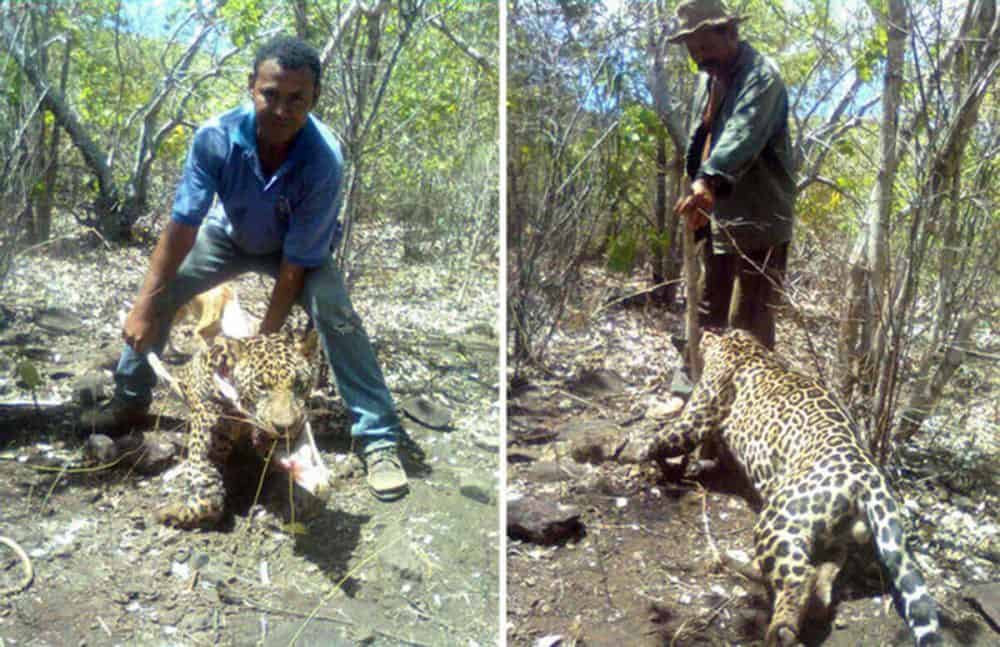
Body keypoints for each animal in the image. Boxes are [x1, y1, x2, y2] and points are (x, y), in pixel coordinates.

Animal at [152, 329, 321, 529]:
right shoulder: (208, 433)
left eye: (299, 384)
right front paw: (171, 512)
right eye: (261, 386)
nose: (285, 427)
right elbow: (208, 494)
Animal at [644, 329, 941, 647]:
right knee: (826, 569)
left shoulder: (699, 414)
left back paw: (781, 628)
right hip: (835, 533)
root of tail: (870, 476)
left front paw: (636, 451)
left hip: (779, 518)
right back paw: (810, 602)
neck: (739, 343)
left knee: (800, 575)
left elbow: (667, 436)